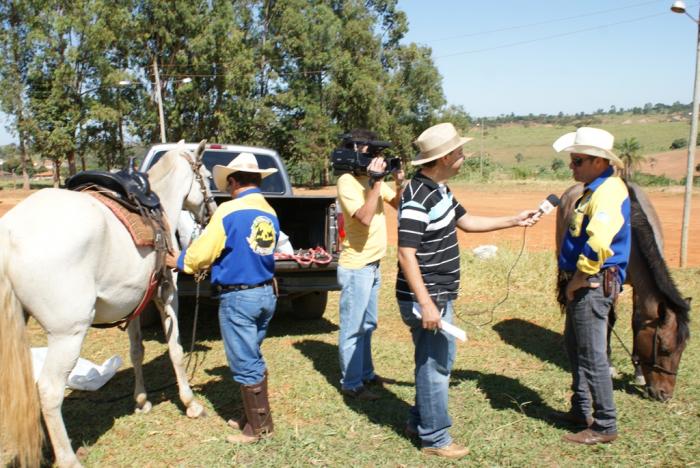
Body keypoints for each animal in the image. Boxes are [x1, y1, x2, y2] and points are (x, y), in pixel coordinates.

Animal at [0, 142, 216, 468]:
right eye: (206, 176)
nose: (212, 211)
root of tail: (10, 233)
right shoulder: (166, 295)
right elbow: (176, 351)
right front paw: (191, 403)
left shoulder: (136, 302)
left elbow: (137, 351)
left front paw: (141, 400)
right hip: (68, 335)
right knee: (49, 391)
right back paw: (68, 459)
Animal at [556, 181, 688, 400]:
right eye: (665, 349)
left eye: (683, 349)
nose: (664, 395)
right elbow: (609, 319)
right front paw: (608, 364)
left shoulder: (638, 288)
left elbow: (637, 321)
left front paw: (638, 372)